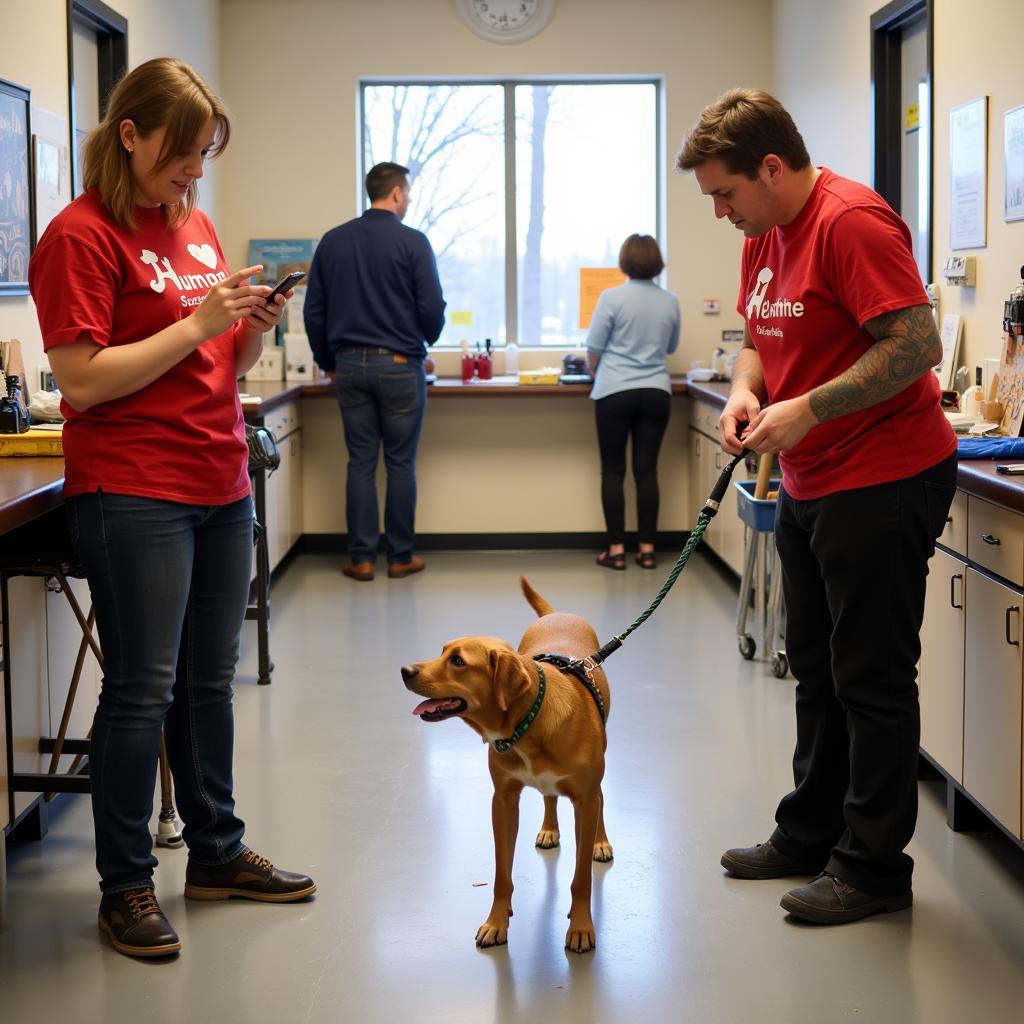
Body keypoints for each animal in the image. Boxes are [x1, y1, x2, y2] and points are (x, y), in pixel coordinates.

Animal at [397, 577, 606, 950]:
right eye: (442, 651)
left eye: (458, 661)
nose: (405, 670)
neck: (529, 721)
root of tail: (557, 614)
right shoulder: (504, 801)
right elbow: (501, 876)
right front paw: (496, 922)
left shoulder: (585, 800)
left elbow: (581, 878)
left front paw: (581, 925)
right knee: (549, 796)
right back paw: (549, 828)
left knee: (602, 801)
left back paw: (600, 842)